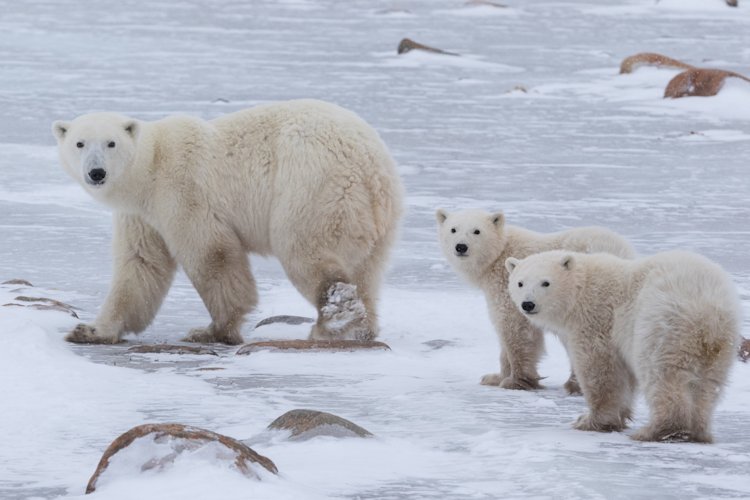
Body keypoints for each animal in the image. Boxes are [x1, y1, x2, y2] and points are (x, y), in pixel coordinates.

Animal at [52, 99, 404, 345]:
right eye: (80, 143)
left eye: (111, 143)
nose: (96, 172)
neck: (150, 169)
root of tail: (373, 169)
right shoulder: (142, 215)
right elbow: (141, 265)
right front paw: (90, 331)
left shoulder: (183, 189)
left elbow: (212, 254)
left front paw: (211, 330)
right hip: (377, 221)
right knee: (368, 273)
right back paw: (360, 330)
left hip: (313, 187)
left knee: (304, 249)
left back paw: (331, 323)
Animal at [436, 209, 636, 392]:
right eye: (453, 229)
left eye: (477, 231)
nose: (461, 247)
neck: (499, 255)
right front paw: (493, 377)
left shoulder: (509, 287)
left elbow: (515, 329)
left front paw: (515, 382)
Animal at [506, 250, 742, 443]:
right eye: (520, 283)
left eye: (545, 283)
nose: (528, 304)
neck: (580, 292)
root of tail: (708, 308)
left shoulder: (597, 320)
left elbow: (600, 370)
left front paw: (590, 421)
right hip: (722, 339)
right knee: (708, 384)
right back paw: (699, 431)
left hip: (663, 323)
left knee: (661, 374)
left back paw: (657, 430)